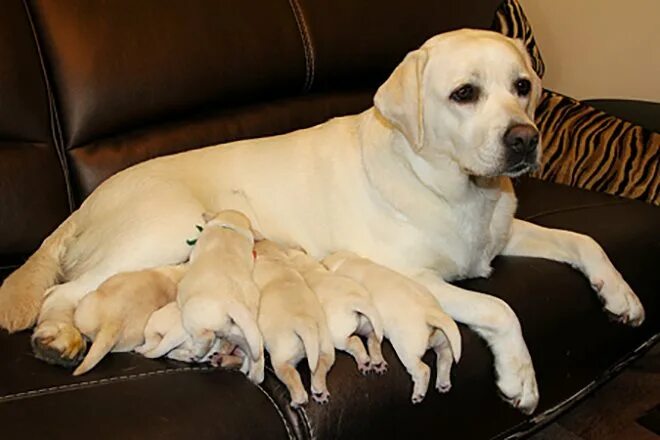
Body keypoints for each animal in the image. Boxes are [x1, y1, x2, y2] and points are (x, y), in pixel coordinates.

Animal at [179, 210, 266, 382]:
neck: (230, 227)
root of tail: (232, 303)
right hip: (244, 332)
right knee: (255, 355)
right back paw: (254, 375)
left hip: (192, 315)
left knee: (207, 336)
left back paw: (197, 353)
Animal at [253, 239, 336, 408]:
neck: (274, 258)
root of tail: (306, 324)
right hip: (325, 348)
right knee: (321, 366)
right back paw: (319, 389)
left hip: (281, 359)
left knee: (292, 376)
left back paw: (298, 400)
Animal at [324, 253, 458, 404]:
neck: (347, 260)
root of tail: (431, 312)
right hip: (442, 340)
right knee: (446, 356)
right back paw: (443, 383)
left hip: (407, 350)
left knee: (423, 369)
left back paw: (419, 394)